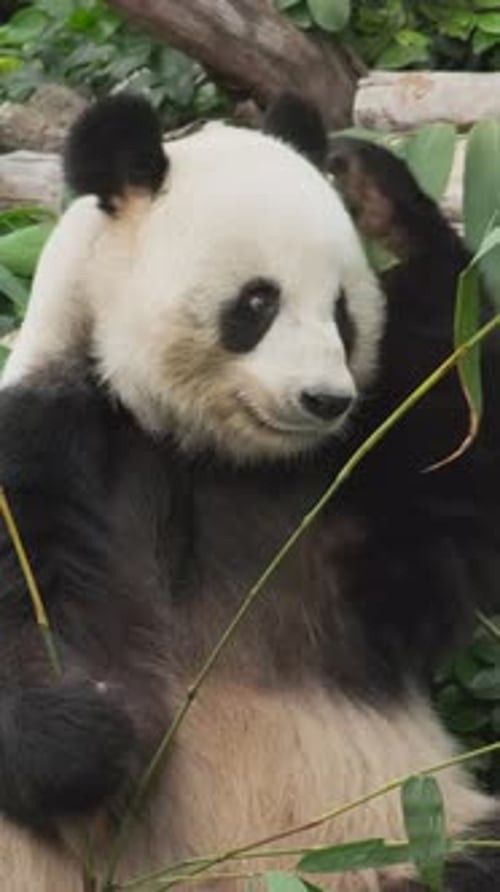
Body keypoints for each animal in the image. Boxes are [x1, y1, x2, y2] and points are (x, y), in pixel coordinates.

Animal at [0, 91, 499, 892]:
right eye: (257, 302)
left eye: (342, 311)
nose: (326, 399)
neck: (195, 448)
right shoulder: (47, 443)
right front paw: (89, 730)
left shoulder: (344, 488)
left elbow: (456, 451)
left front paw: (379, 191)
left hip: (407, 838)